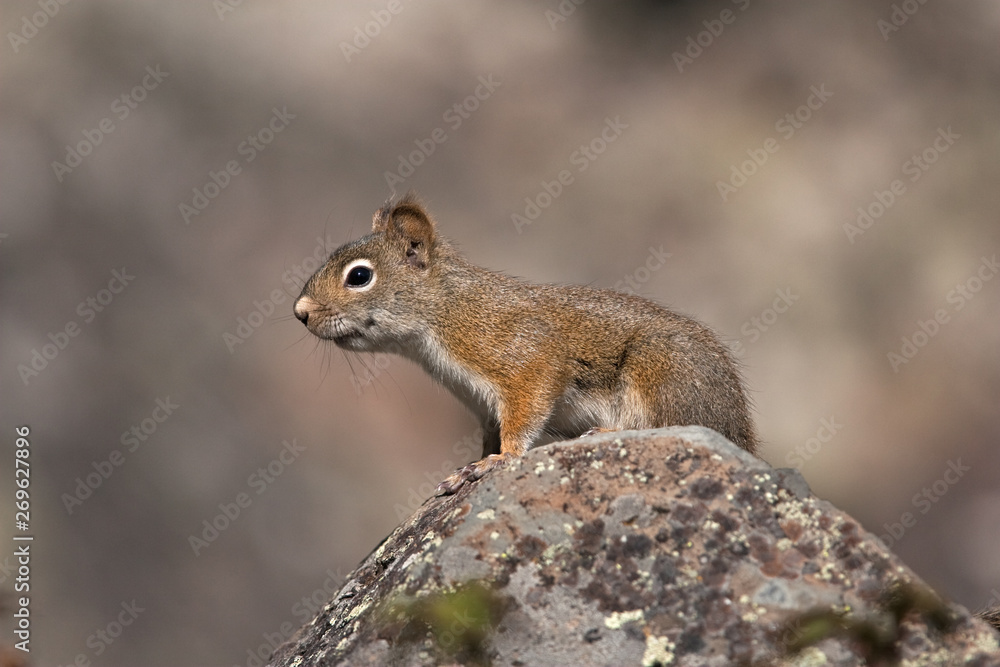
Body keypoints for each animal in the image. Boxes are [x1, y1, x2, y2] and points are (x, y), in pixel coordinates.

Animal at [293, 194, 758, 495]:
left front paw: (499, 461)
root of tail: (740, 430)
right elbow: (493, 434)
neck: (446, 311)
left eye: (359, 276)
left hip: (662, 369)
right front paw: (470, 466)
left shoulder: (522, 356)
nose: (300, 312)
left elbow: (524, 416)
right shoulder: (483, 407)